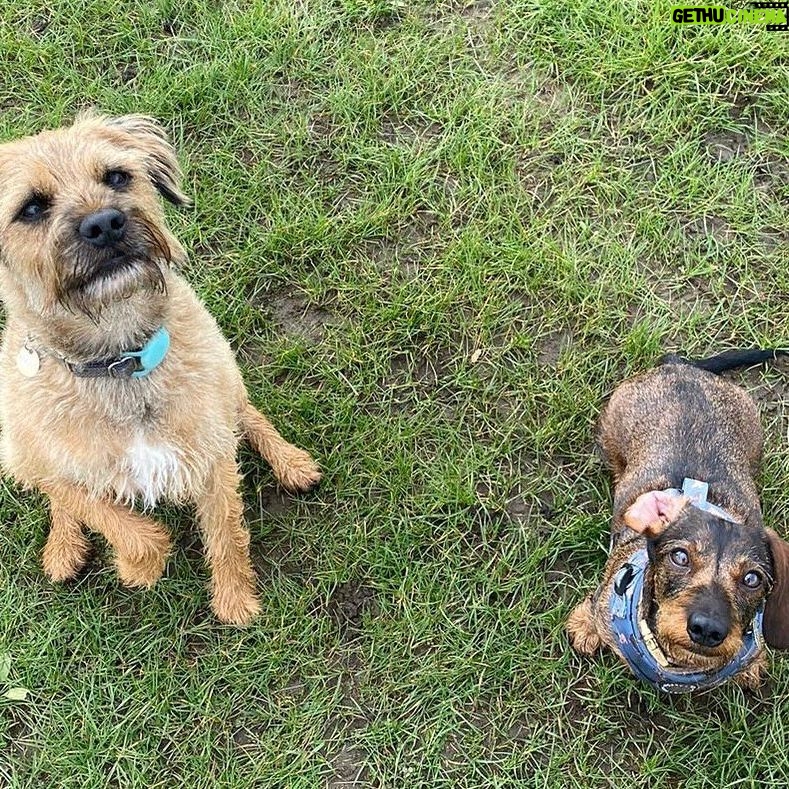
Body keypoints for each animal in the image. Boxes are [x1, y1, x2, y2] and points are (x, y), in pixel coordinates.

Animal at [0, 114, 324, 624]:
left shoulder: (210, 454)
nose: (104, 223)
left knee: (247, 413)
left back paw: (292, 463)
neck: (120, 360)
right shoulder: (40, 458)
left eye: (116, 177)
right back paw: (63, 548)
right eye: (31, 208)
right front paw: (138, 567)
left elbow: (226, 532)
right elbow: (95, 506)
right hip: (16, 448)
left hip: (226, 373)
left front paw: (235, 601)